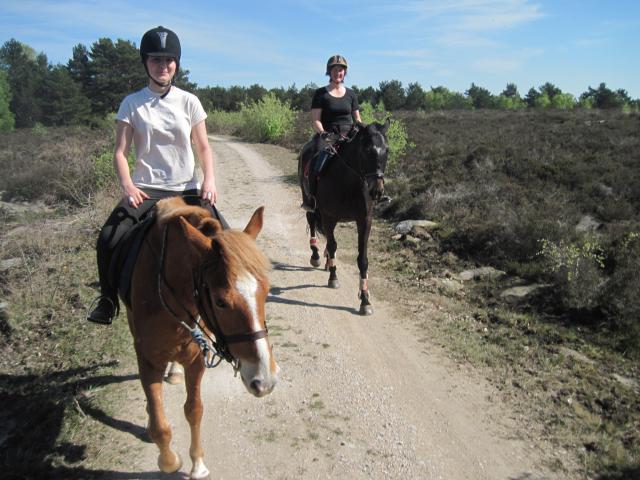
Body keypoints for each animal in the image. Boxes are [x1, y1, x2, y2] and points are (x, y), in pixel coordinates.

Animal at [129, 197, 278, 478]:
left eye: (267, 291)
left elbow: (194, 409)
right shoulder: (147, 359)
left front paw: (197, 464)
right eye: (220, 302)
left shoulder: (197, 357)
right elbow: (159, 422)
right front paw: (169, 460)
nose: (265, 380)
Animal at [298, 120, 390, 316]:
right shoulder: (329, 216)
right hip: (309, 202)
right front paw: (333, 278)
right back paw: (317, 256)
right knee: (312, 222)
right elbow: (333, 245)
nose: (377, 191)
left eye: (387, 150)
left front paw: (365, 300)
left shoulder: (365, 220)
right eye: (366, 150)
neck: (349, 181)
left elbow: (362, 259)